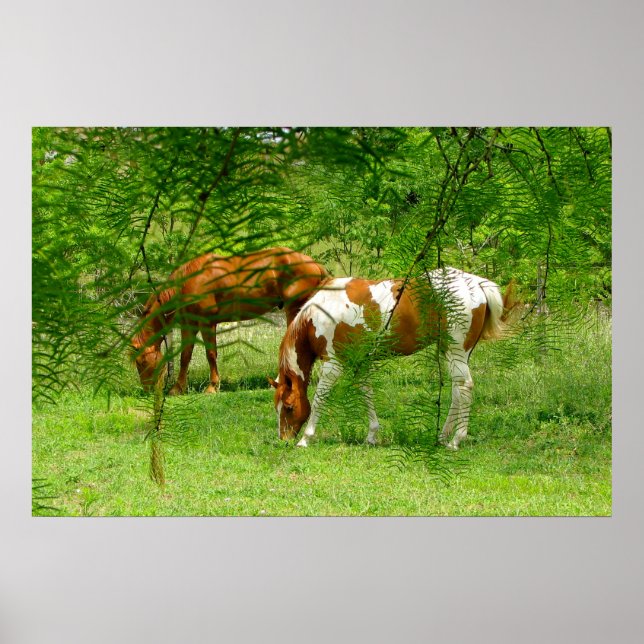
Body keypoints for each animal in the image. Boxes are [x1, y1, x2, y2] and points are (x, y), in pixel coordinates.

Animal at [131, 247, 328, 394]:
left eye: (141, 362)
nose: (147, 390)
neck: (189, 280)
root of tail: (314, 264)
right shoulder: (189, 324)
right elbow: (185, 356)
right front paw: (177, 389)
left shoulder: (207, 322)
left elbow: (211, 354)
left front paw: (212, 387)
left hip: (294, 310)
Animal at [269, 268, 516, 449]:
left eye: (289, 407)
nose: (284, 440)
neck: (322, 310)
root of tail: (477, 284)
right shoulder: (361, 363)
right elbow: (366, 392)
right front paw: (372, 435)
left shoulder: (333, 365)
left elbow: (320, 398)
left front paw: (306, 438)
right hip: (451, 351)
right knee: (457, 390)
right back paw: (443, 437)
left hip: (456, 350)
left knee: (464, 387)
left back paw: (456, 440)